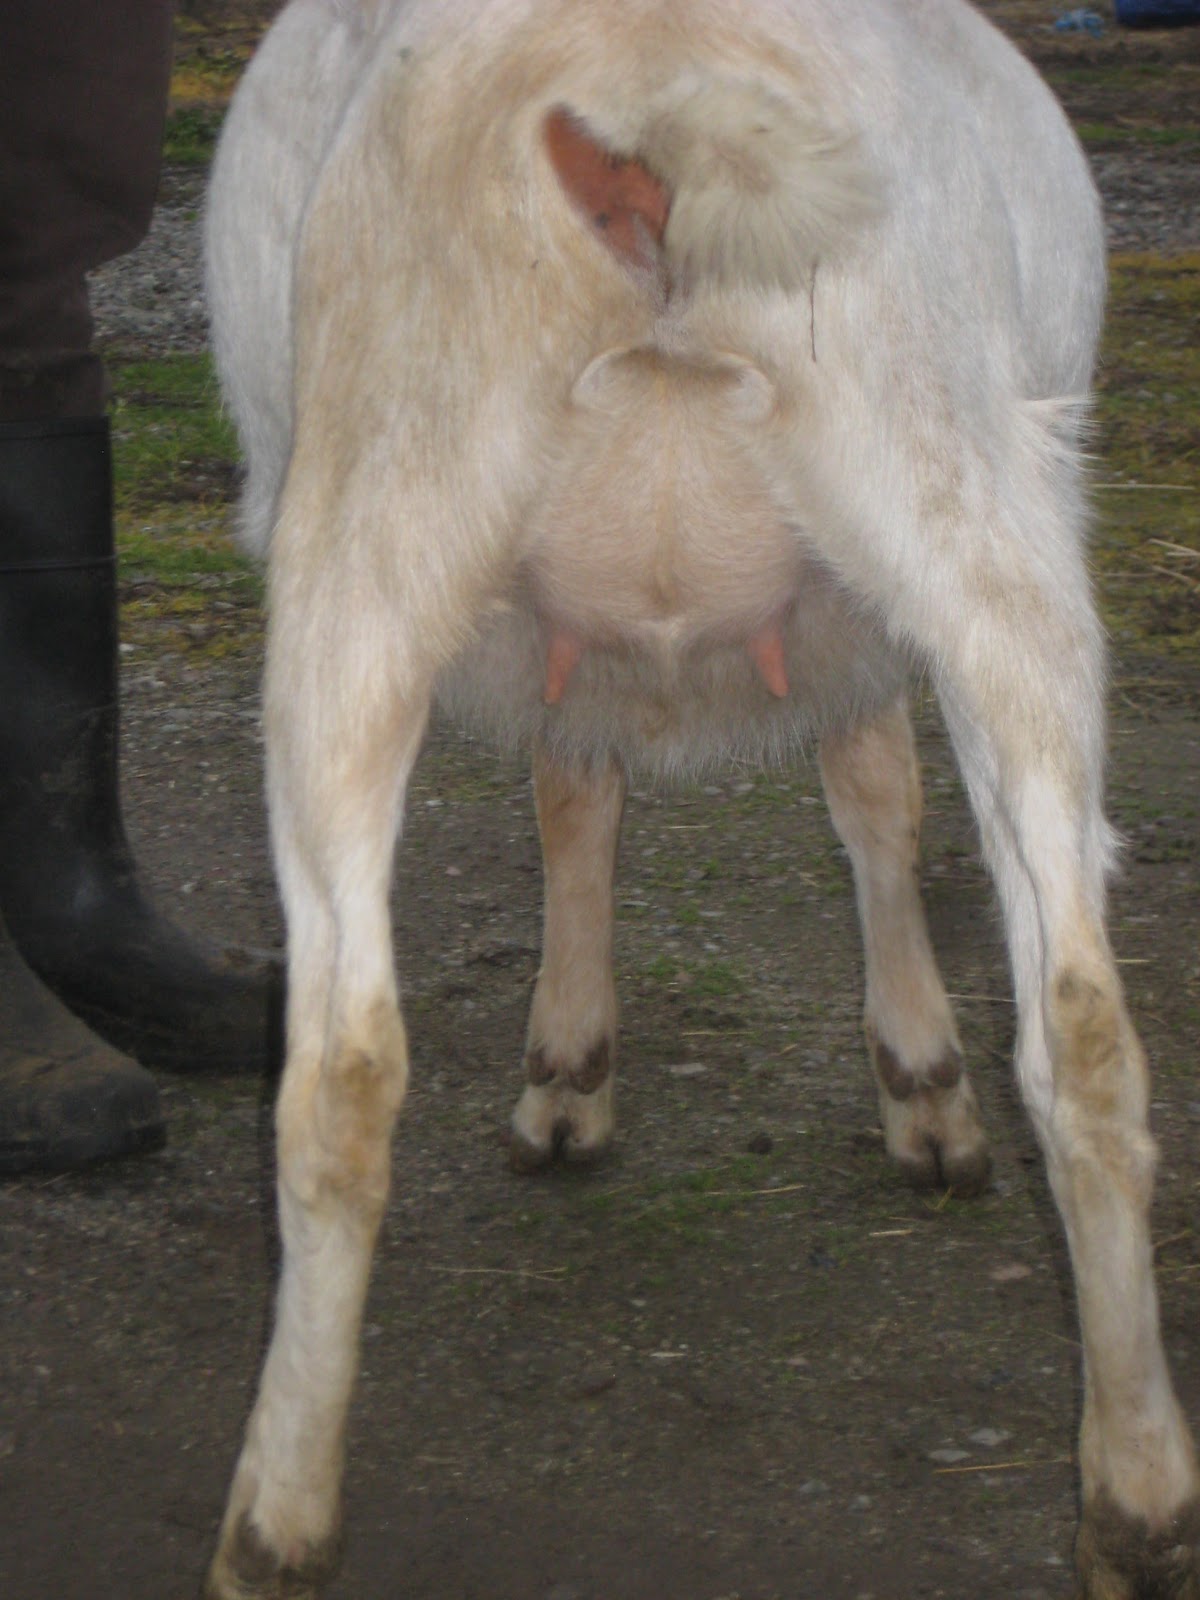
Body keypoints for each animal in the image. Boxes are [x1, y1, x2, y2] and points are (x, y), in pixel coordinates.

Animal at [203, 1, 1200, 1594]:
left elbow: (632, 792)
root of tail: (655, 76)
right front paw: (916, 1084)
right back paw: (1143, 1505)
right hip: (977, 520)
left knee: (339, 1067)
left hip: (372, 520)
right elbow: (846, 789)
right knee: (1088, 1034)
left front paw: (577, 1072)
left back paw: (274, 1518)